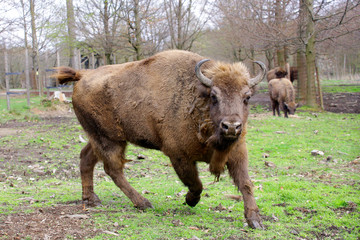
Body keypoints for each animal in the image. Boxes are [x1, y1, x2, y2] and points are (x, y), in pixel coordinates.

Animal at [54, 49, 268, 229]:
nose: (231, 126)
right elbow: (195, 183)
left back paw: (91, 199)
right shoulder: (178, 155)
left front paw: (255, 220)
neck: (198, 99)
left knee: (86, 159)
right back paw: (143, 203)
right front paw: (190, 200)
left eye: (247, 97)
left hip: (100, 138)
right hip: (110, 141)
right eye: (214, 96)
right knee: (113, 169)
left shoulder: (237, 152)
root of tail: (83, 75)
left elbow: (245, 183)